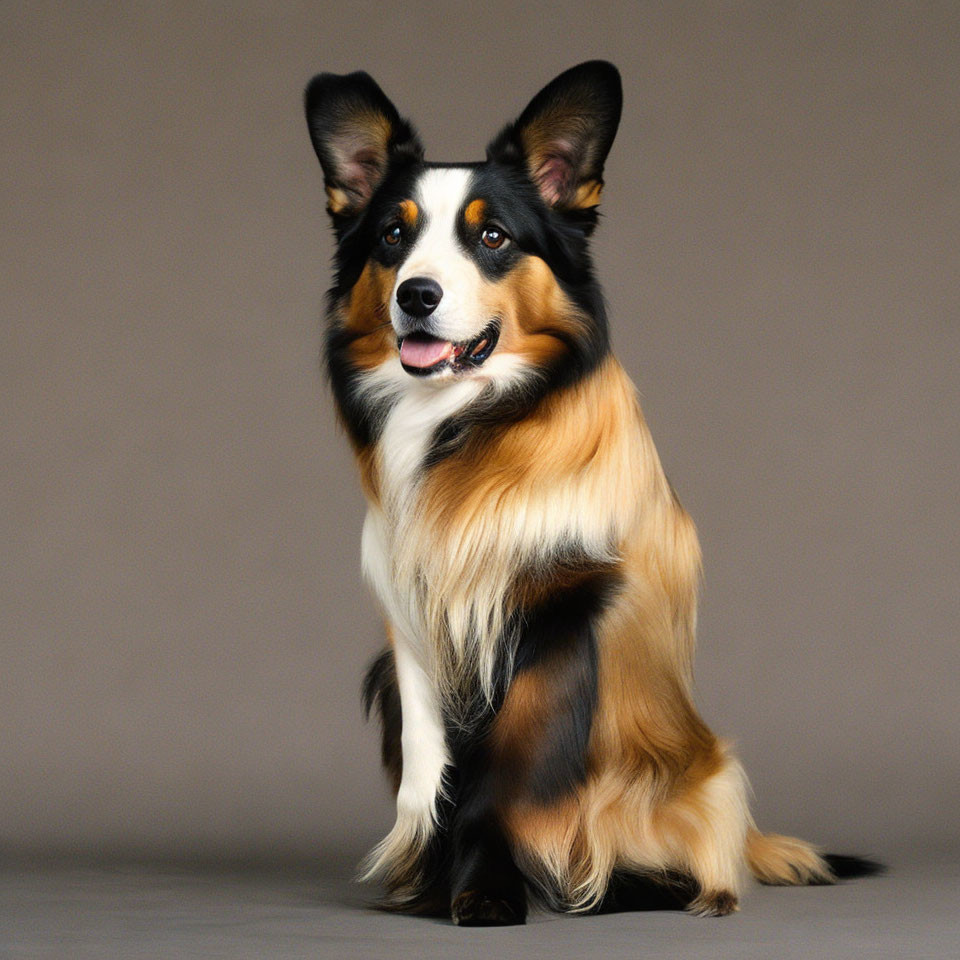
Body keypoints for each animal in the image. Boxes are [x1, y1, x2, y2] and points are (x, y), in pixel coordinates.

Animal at [302, 58, 876, 924]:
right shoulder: (412, 624)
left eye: (493, 237)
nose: (416, 295)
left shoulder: (565, 606)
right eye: (393, 236)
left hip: (697, 777)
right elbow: (429, 773)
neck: (473, 423)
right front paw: (436, 882)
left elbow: (503, 772)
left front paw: (485, 890)